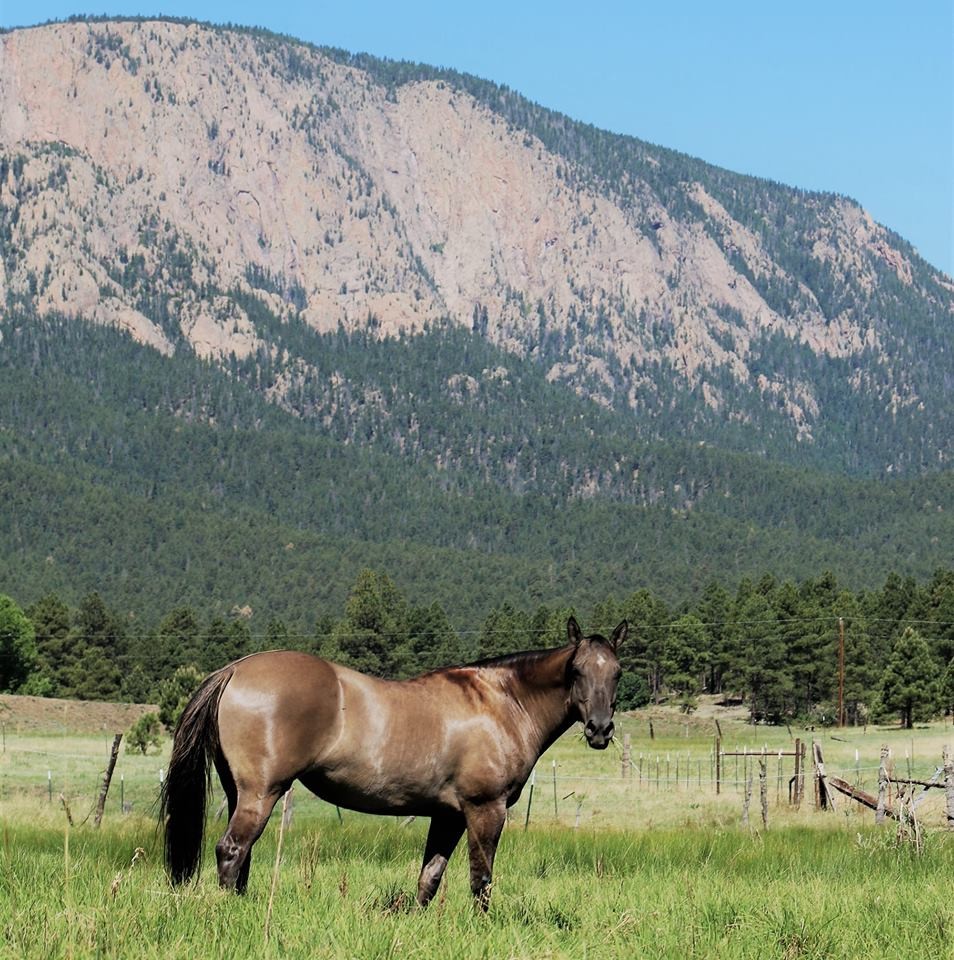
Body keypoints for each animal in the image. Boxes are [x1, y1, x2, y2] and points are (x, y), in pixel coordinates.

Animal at [160, 616, 626, 909]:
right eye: (577, 671)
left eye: (617, 672)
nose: (600, 729)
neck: (501, 702)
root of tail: (235, 670)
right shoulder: (485, 810)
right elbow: (481, 879)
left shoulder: (448, 815)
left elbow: (430, 876)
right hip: (262, 792)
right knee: (232, 849)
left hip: (241, 791)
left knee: (242, 854)